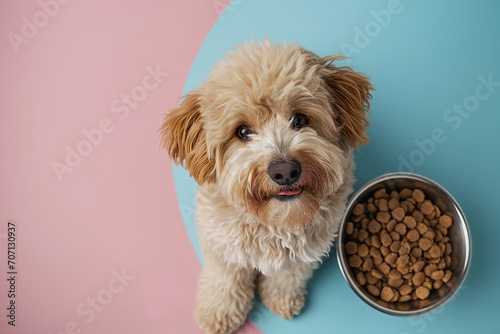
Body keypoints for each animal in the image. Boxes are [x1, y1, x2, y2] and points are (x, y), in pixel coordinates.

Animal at [160, 39, 372, 334]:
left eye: (299, 119)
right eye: (242, 131)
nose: (285, 171)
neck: (273, 224)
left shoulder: (306, 251)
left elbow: (288, 276)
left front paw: (280, 298)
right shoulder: (221, 245)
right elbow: (225, 280)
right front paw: (219, 312)